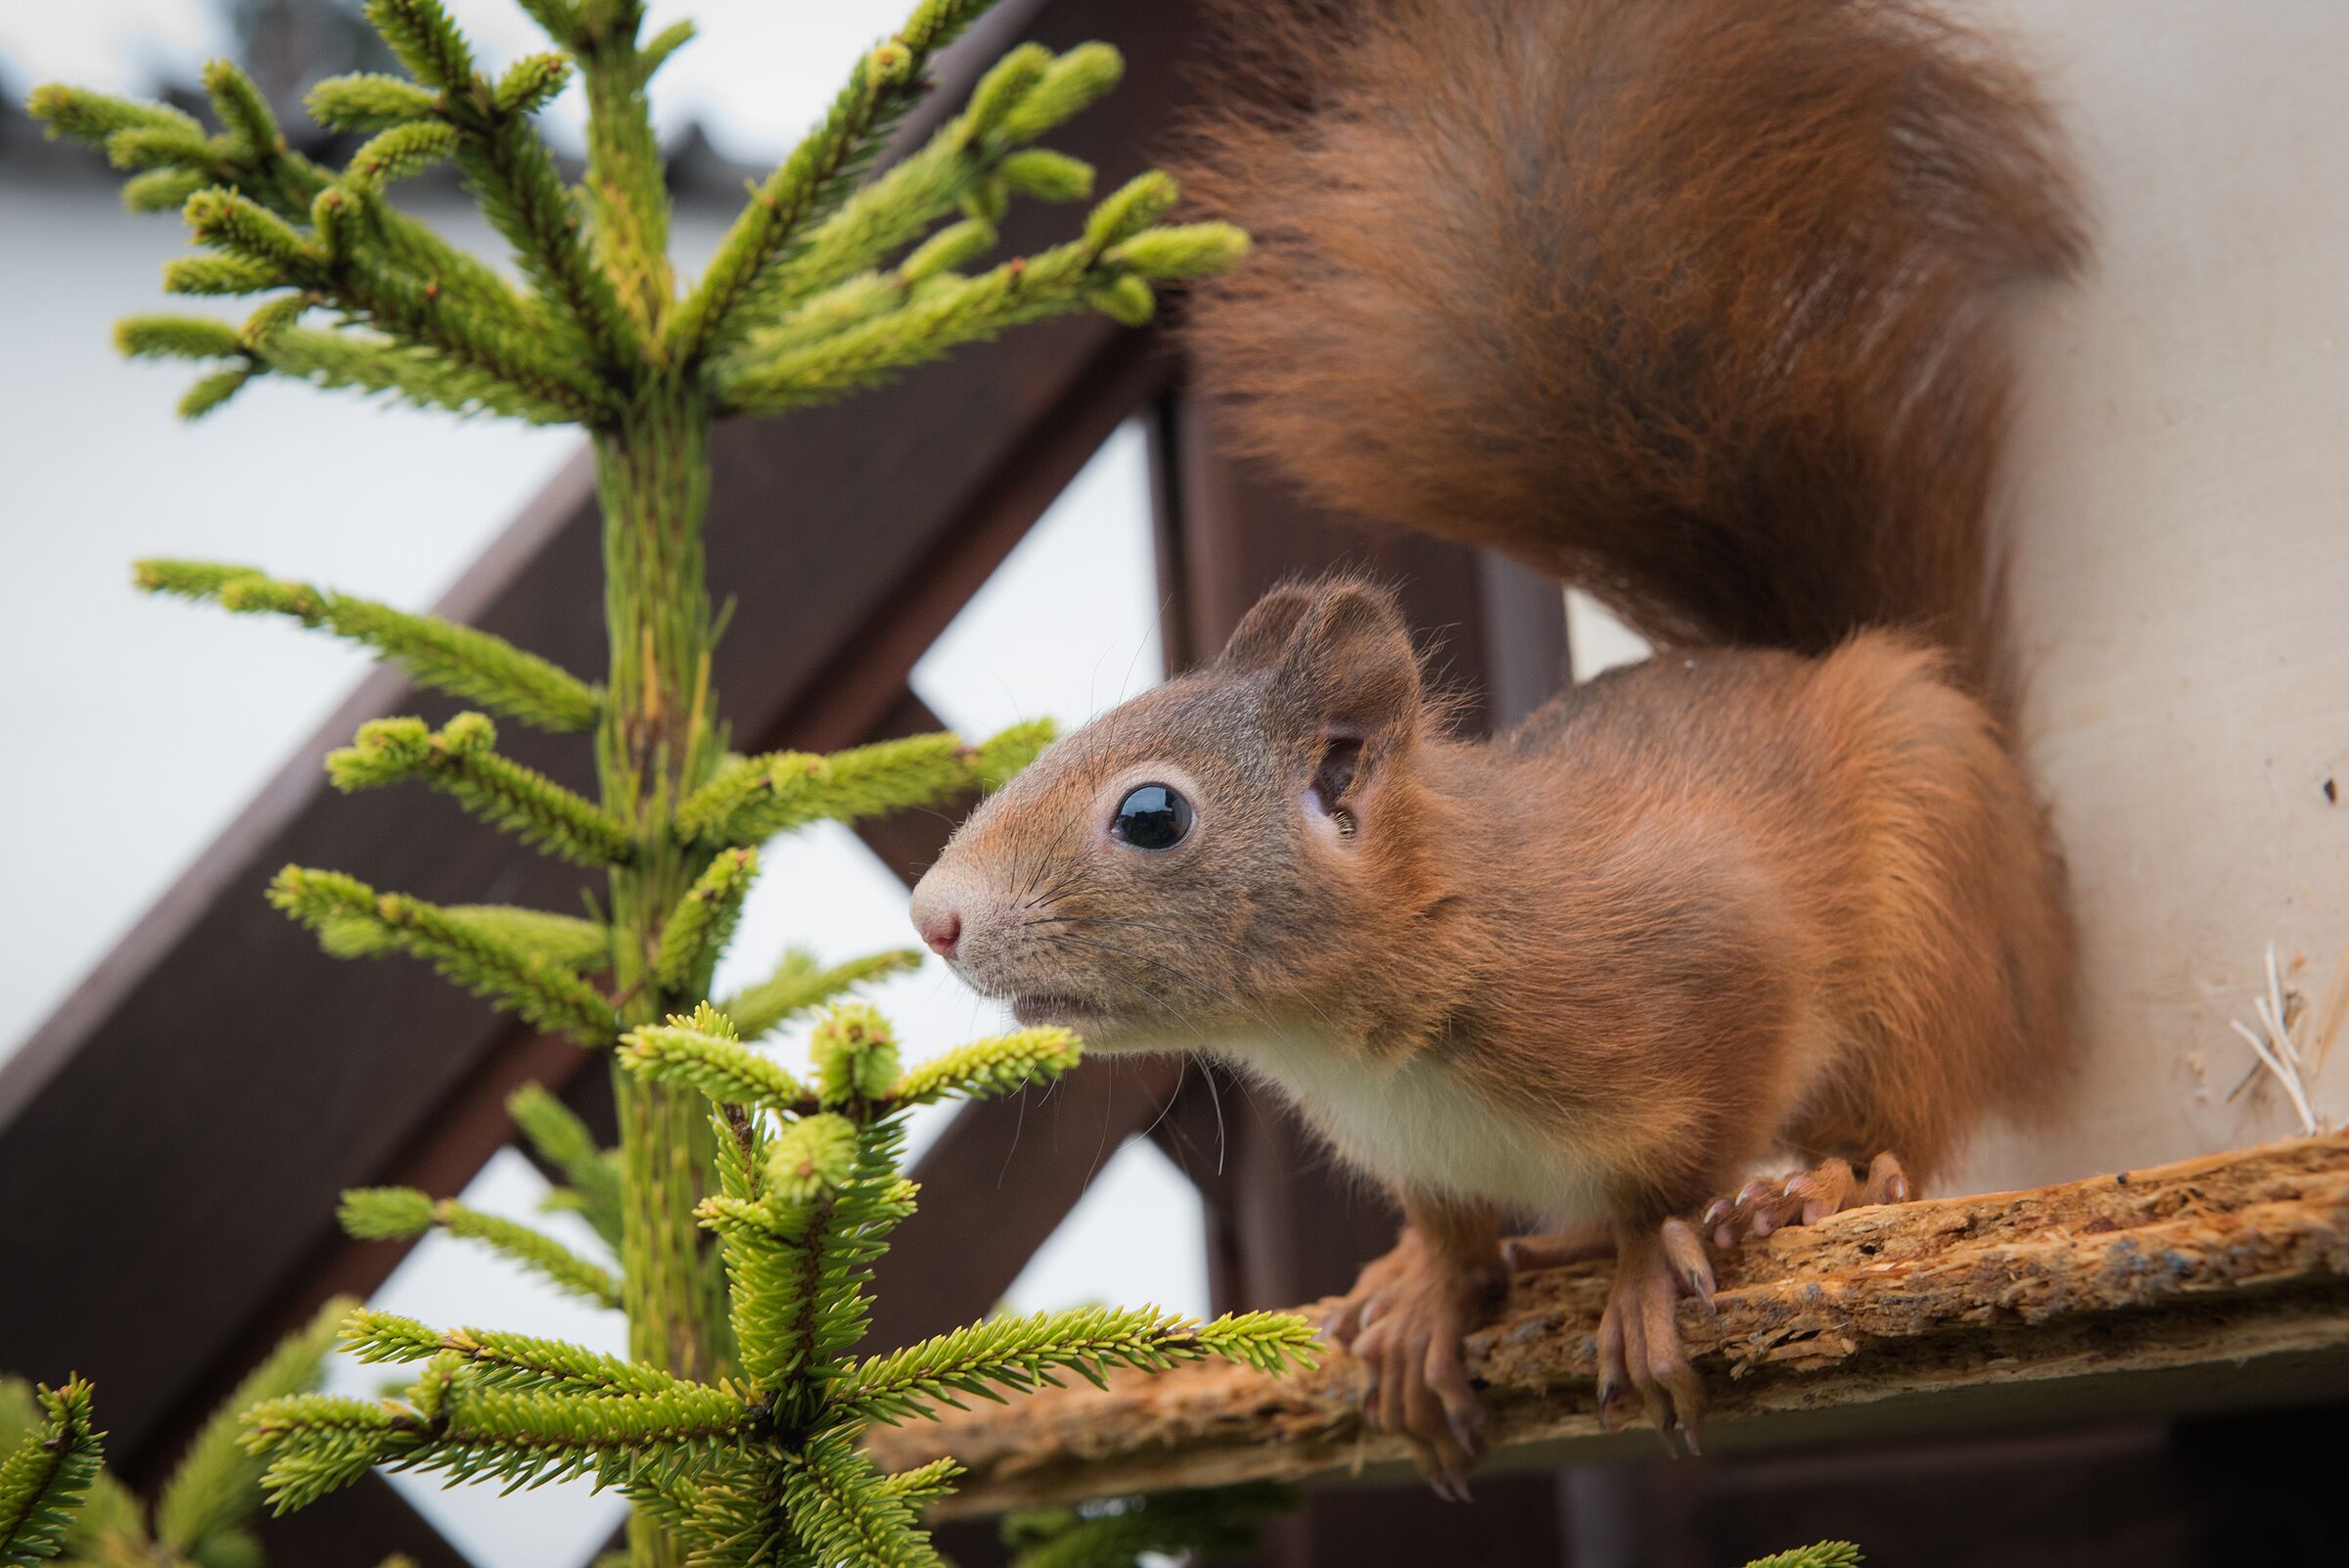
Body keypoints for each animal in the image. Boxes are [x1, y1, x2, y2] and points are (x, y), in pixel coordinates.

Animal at [909, 0, 2085, 1492]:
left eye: (1153, 816)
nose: (932, 915)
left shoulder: (1719, 968)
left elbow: (1678, 1164)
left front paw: (1645, 1268)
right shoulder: (1428, 1154)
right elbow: (1454, 1224)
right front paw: (1424, 1289)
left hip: (1930, 913)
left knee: (1903, 1110)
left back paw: (1815, 1184)